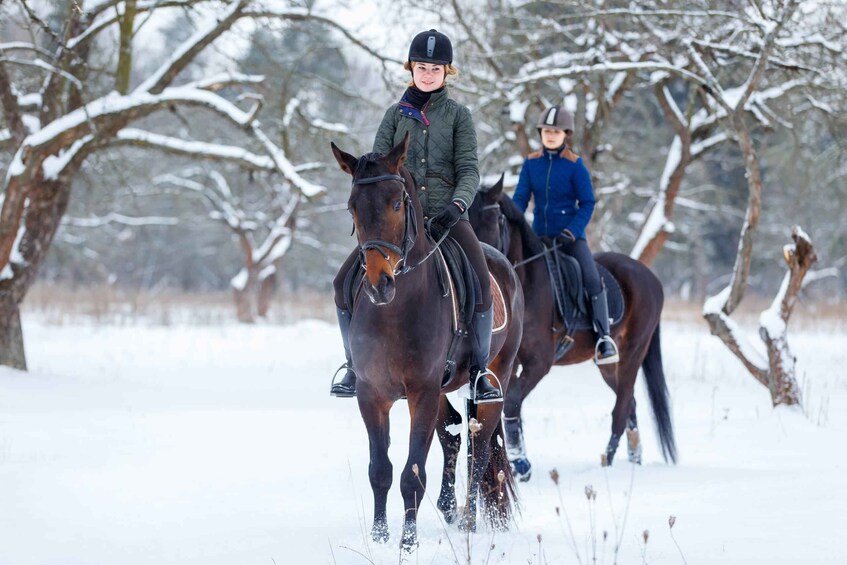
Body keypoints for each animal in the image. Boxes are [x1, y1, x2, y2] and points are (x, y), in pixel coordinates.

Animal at [330, 134, 525, 550]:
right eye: (353, 206)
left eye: (396, 202)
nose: (379, 284)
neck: (396, 310)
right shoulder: (372, 394)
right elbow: (380, 470)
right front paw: (380, 536)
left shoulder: (421, 390)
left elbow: (412, 473)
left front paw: (407, 542)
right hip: (440, 390)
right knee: (453, 433)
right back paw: (450, 508)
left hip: (492, 379)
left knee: (479, 448)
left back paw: (468, 519)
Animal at [468, 176, 677, 478]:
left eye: (495, 220)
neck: (526, 283)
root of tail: (650, 277)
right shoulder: (508, 363)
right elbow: (511, 405)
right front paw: (519, 462)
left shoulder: (538, 363)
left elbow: (513, 403)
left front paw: (521, 463)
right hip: (608, 366)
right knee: (630, 404)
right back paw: (633, 458)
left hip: (631, 355)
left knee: (621, 407)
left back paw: (607, 461)